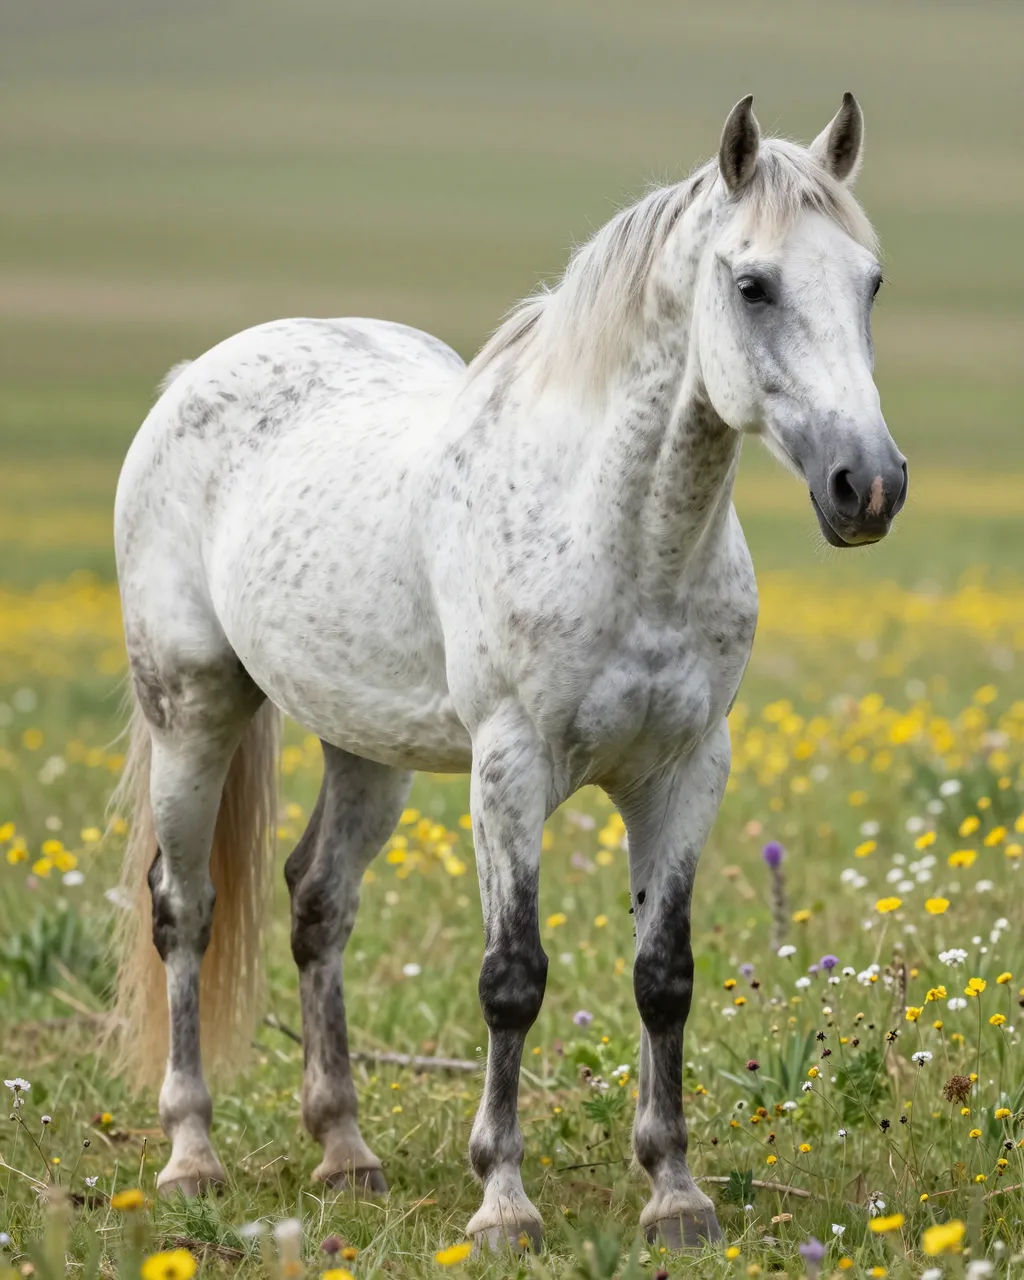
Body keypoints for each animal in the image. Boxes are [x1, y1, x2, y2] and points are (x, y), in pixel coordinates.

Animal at [111, 93, 907, 1250]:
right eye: (753, 284)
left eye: (869, 281)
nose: (869, 486)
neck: (621, 539)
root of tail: (192, 378)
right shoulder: (510, 770)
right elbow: (512, 978)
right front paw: (503, 1201)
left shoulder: (685, 772)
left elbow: (664, 977)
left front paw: (675, 1192)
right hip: (193, 711)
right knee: (186, 909)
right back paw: (190, 1157)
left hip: (365, 744)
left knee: (318, 903)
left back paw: (345, 1151)